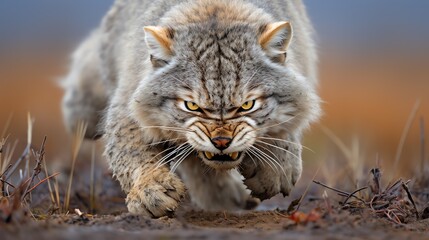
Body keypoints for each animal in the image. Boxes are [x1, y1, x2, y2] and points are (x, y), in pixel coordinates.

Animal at [61, 0, 320, 218]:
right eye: (192, 106)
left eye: (247, 105)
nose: (222, 142)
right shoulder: (128, 104)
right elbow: (131, 152)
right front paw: (150, 190)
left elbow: (282, 126)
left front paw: (277, 168)